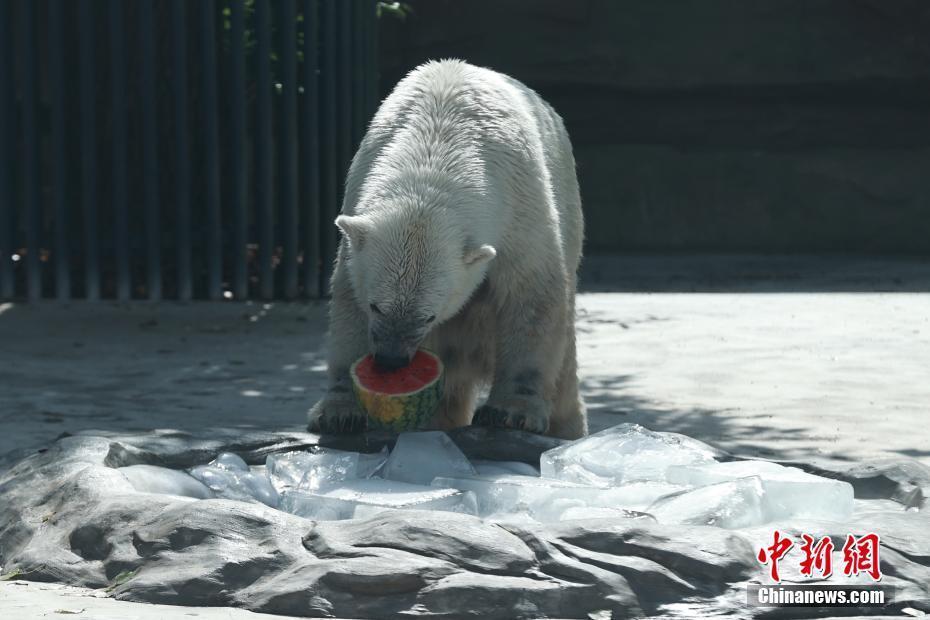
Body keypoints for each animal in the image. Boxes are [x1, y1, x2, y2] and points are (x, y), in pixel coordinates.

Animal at [312, 58, 588, 438]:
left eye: (427, 315)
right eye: (376, 306)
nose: (390, 361)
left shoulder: (519, 207)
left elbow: (531, 294)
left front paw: (512, 411)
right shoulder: (360, 192)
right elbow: (347, 298)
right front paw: (340, 411)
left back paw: (568, 427)